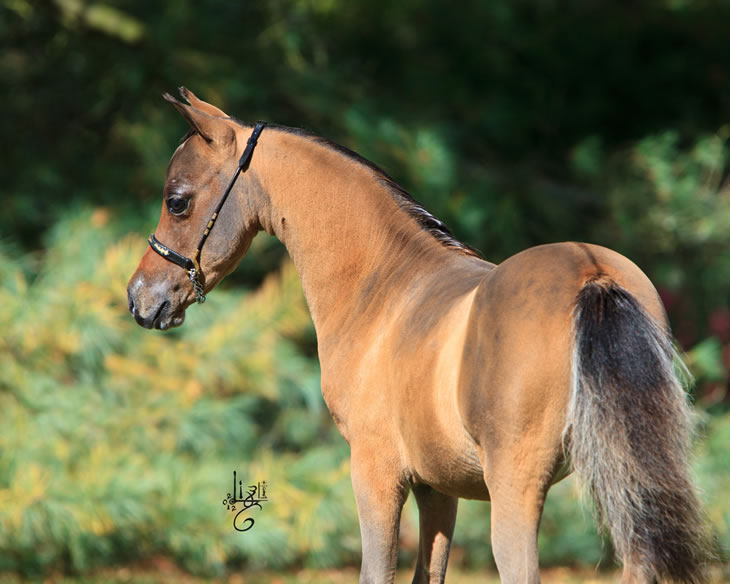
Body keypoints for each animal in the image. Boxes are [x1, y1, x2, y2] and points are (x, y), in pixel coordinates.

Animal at [125, 88, 704, 584]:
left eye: (177, 201)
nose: (139, 298)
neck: (384, 285)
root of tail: (592, 276)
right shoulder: (438, 487)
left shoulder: (376, 474)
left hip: (518, 490)